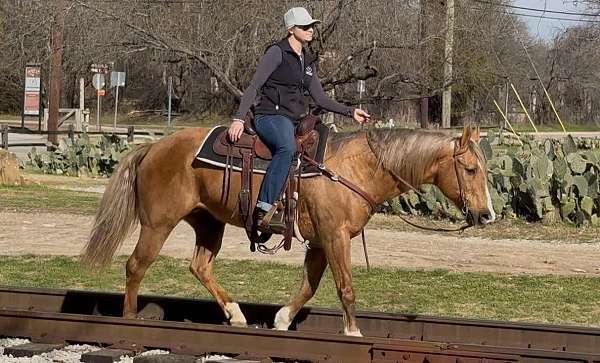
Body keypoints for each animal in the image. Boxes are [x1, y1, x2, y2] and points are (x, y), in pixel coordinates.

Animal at [84, 126, 496, 336]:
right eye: (471, 169)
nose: (487, 214)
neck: (355, 167)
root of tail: (153, 146)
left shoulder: (320, 241)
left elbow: (310, 285)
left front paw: (282, 319)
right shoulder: (335, 237)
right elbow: (345, 288)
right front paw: (353, 335)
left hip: (208, 223)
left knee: (199, 266)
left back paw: (236, 315)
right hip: (158, 224)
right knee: (136, 266)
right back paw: (129, 320)